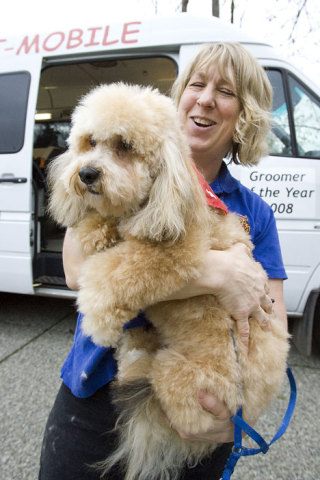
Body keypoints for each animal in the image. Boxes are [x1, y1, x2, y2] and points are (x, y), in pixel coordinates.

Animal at [48, 82, 290, 480]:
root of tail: (244, 409)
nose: (86, 174)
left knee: (153, 377)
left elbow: (117, 269)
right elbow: (103, 232)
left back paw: (134, 358)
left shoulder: (178, 253)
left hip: (177, 375)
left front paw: (99, 320)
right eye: (89, 142)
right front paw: (94, 228)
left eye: (124, 146)